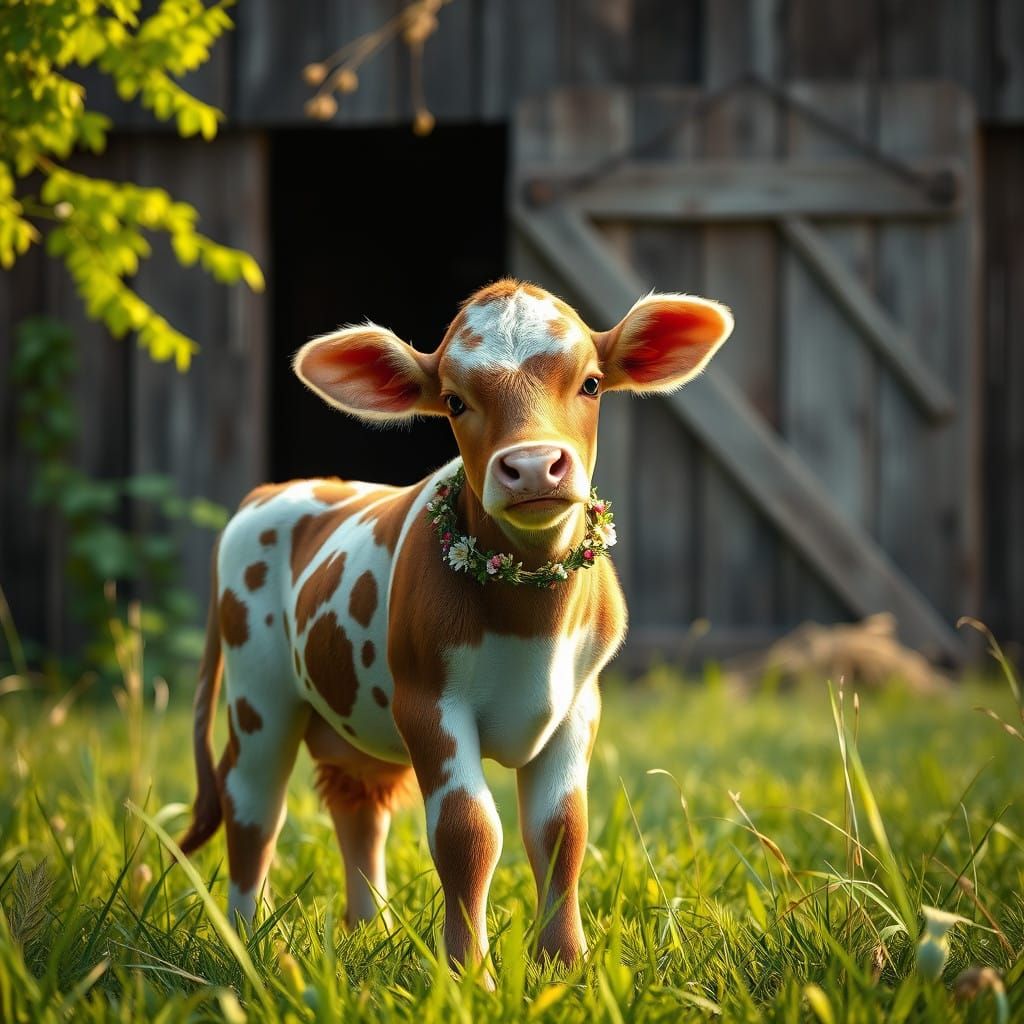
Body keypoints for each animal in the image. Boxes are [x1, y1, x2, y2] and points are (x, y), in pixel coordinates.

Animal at [179, 279, 732, 978]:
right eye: (453, 400)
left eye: (591, 383)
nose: (533, 466)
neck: (530, 621)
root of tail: (277, 491)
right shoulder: (429, 704)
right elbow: (468, 831)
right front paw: (470, 974)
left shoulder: (580, 704)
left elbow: (562, 830)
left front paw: (566, 968)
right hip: (260, 696)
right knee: (253, 806)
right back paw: (247, 942)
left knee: (358, 805)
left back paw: (371, 930)